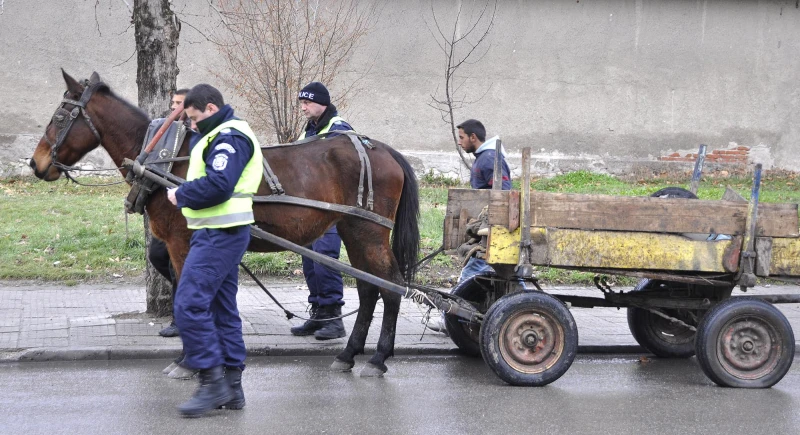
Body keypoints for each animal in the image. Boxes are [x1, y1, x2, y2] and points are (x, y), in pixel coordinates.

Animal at [28, 70, 422, 376]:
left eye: (60, 117)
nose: (35, 163)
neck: (166, 159)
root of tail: (380, 148)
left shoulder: (182, 243)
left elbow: (189, 293)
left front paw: (189, 361)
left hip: (369, 232)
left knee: (391, 288)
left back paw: (378, 358)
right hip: (353, 231)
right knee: (369, 289)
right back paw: (349, 354)